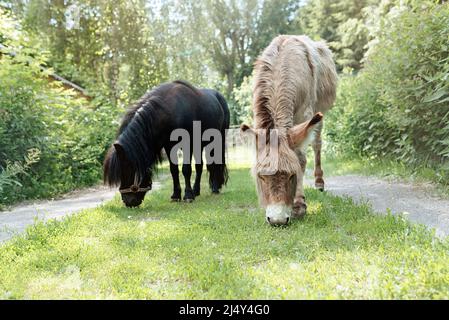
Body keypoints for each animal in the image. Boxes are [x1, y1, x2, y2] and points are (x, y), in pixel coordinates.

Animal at [103, 80, 229, 208]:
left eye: (128, 169)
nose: (128, 201)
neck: (169, 111)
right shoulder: (169, 146)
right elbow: (174, 170)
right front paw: (176, 195)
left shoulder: (187, 144)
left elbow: (186, 169)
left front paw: (188, 195)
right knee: (200, 166)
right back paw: (196, 190)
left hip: (216, 141)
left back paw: (214, 188)